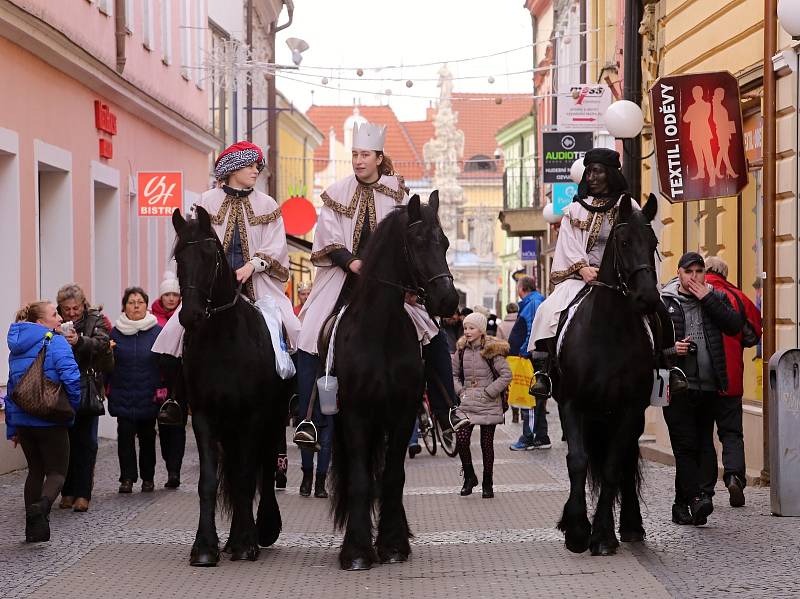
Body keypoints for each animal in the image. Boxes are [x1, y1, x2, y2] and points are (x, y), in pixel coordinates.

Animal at [172, 209, 290, 568]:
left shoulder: (251, 418)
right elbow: (209, 481)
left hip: (272, 421)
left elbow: (245, 477)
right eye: (179, 257)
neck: (223, 342)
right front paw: (205, 547)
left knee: (264, 467)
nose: (191, 315)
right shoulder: (204, 418)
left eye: (210, 255)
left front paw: (244, 543)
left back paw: (263, 528)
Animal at [330, 192, 456, 572]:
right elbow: (359, 479)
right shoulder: (355, 414)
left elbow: (393, 476)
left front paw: (393, 543)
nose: (448, 299)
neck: (380, 331)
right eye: (417, 242)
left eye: (445, 242)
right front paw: (357, 550)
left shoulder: (402, 413)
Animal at [552, 196, 660, 556]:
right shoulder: (571, 405)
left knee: (624, 462)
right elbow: (578, 460)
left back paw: (630, 525)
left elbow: (613, 466)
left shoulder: (629, 410)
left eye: (654, 244)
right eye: (624, 242)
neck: (608, 333)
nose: (648, 299)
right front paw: (576, 530)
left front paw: (601, 535)